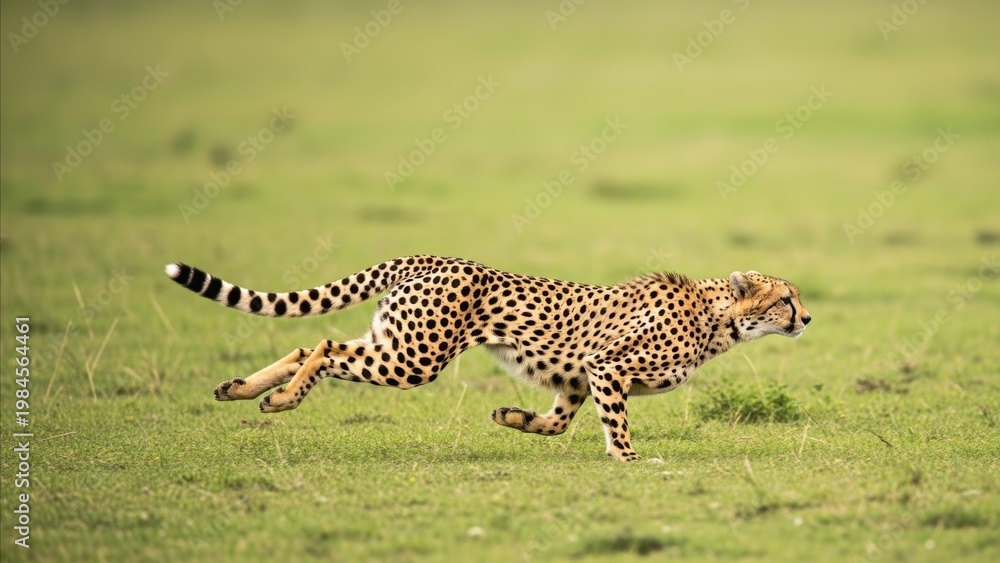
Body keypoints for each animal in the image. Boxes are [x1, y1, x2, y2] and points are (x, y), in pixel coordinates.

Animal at [165, 255, 811, 462]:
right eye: (785, 298)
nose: (807, 318)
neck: (718, 318)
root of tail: (436, 259)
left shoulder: (578, 377)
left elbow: (557, 422)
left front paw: (511, 418)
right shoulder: (608, 368)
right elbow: (618, 424)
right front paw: (630, 460)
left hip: (397, 344)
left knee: (311, 342)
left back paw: (245, 390)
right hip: (414, 358)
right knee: (323, 346)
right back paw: (281, 399)